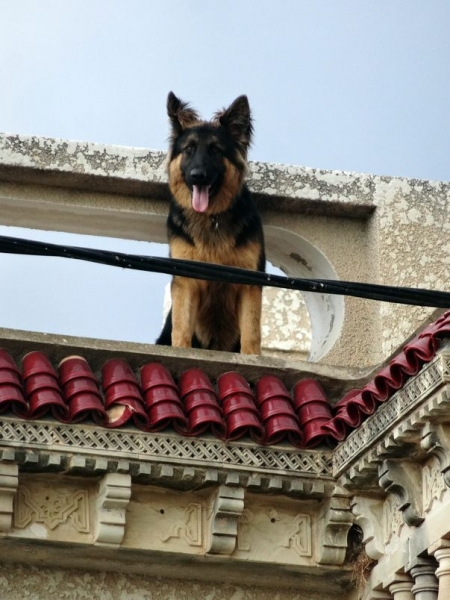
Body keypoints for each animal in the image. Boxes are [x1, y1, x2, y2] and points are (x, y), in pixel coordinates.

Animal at [156, 92, 266, 354]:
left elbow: (251, 334)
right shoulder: (185, 281)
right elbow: (181, 330)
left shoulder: (250, 283)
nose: (198, 176)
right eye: (189, 149)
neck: (211, 217)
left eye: (215, 150)